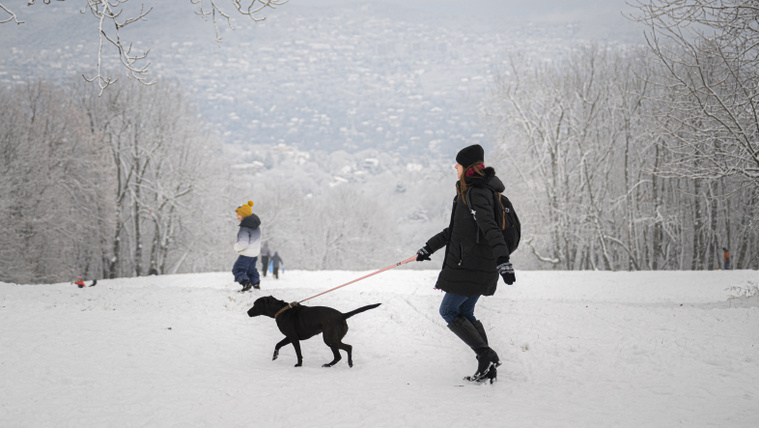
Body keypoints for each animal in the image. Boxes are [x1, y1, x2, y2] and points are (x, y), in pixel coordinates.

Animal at [248, 294, 382, 368]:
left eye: (255, 304)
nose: (248, 312)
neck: (281, 311)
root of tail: (342, 315)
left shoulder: (293, 337)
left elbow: (298, 352)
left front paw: (299, 364)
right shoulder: (289, 337)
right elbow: (277, 345)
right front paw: (275, 358)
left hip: (329, 339)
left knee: (348, 348)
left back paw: (348, 363)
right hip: (331, 340)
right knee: (338, 356)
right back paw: (329, 365)